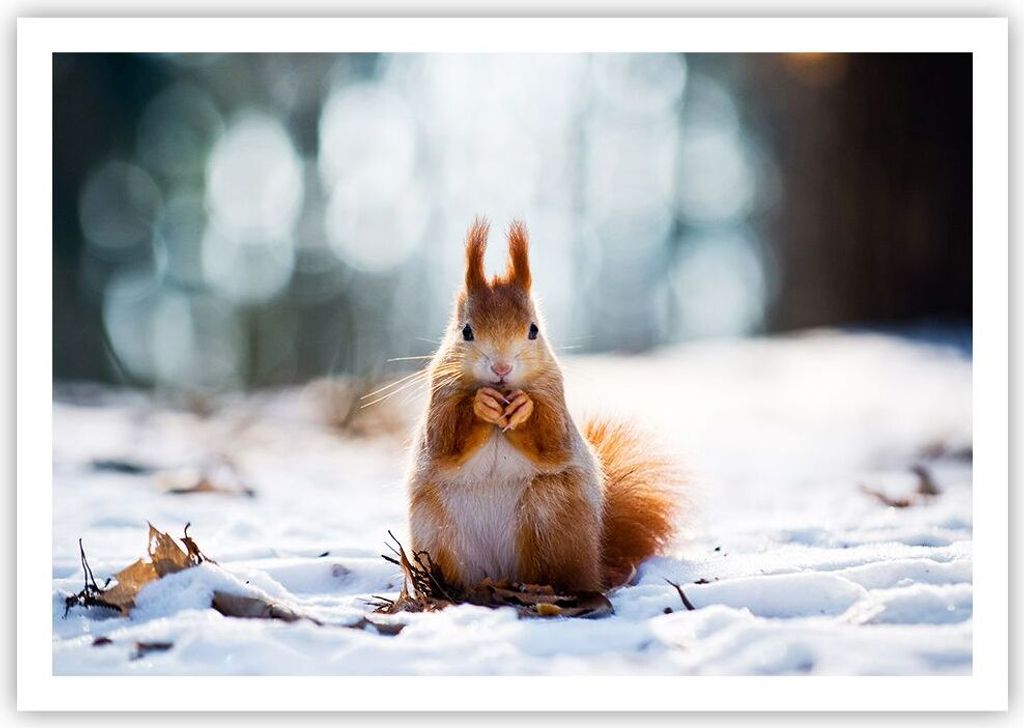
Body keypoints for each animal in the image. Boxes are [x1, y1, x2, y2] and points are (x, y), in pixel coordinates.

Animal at [407, 219, 682, 593]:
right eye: (466, 331)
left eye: (534, 330)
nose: (502, 368)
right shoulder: (440, 399)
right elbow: (444, 439)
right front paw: (481, 404)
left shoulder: (555, 398)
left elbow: (551, 438)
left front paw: (524, 408)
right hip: (437, 530)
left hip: (551, 514)